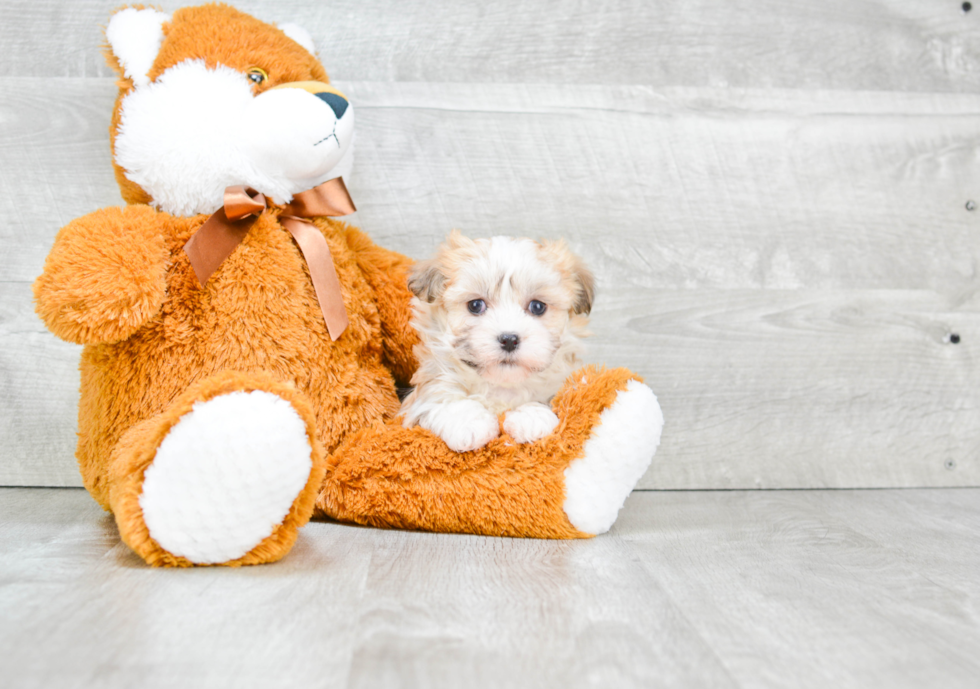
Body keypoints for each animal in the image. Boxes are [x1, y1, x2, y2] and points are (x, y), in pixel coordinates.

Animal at [400, 231, 596, 452]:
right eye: (475, 305)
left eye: (537, 307)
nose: (509, 339)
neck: (502, 387)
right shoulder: (425, 394)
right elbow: (444, 400)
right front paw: (468, 423)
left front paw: (532, 416)